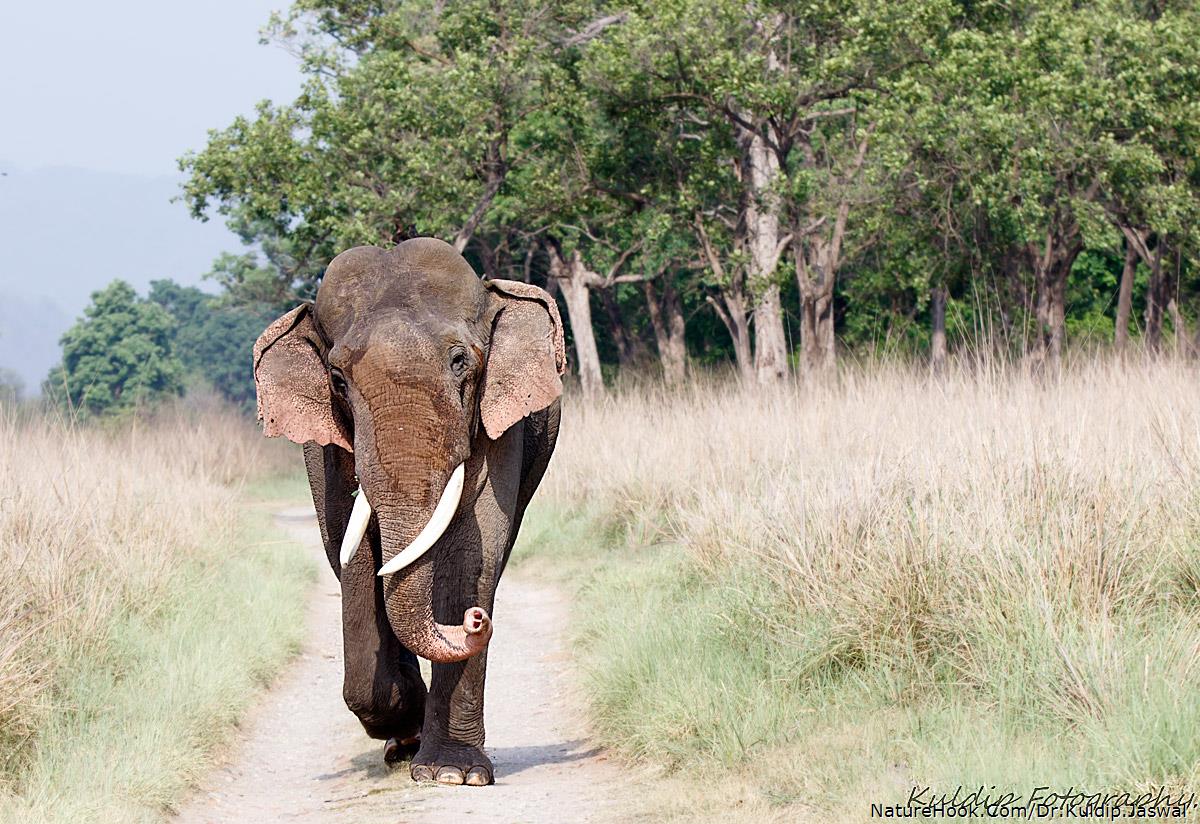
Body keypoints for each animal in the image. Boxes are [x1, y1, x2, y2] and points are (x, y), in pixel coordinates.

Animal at [249, 238, 566, 786]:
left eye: (460, 361)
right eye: (337, 379)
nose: (477, 621)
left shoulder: (497, 425)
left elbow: (473, 546)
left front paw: (454, 774)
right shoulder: (330, 447)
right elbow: (351, 548)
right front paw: (402, 722)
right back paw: (404, 740)